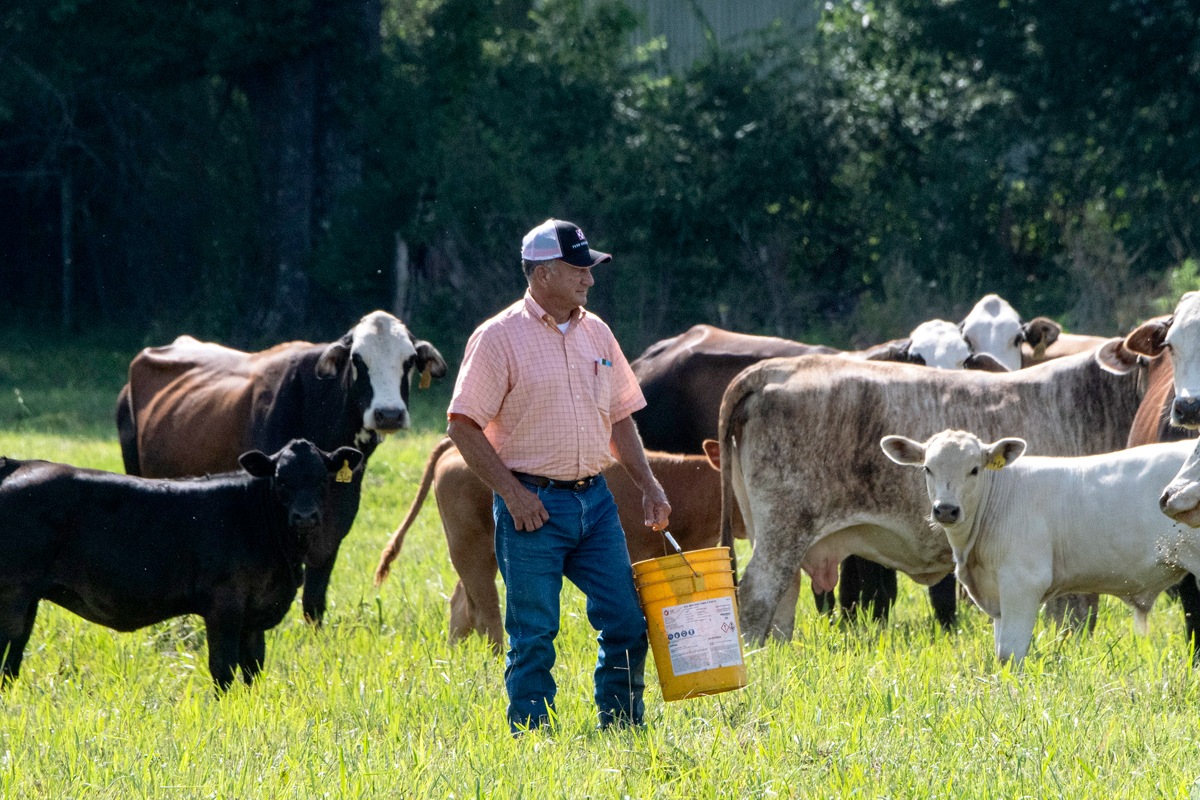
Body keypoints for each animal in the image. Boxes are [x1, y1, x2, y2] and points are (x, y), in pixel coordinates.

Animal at [878, 429, 1195, 666]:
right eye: (927, 468)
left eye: (974, 469)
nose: (946, 510)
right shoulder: (999, 595)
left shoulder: (1022, 583)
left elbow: (1009, 654)